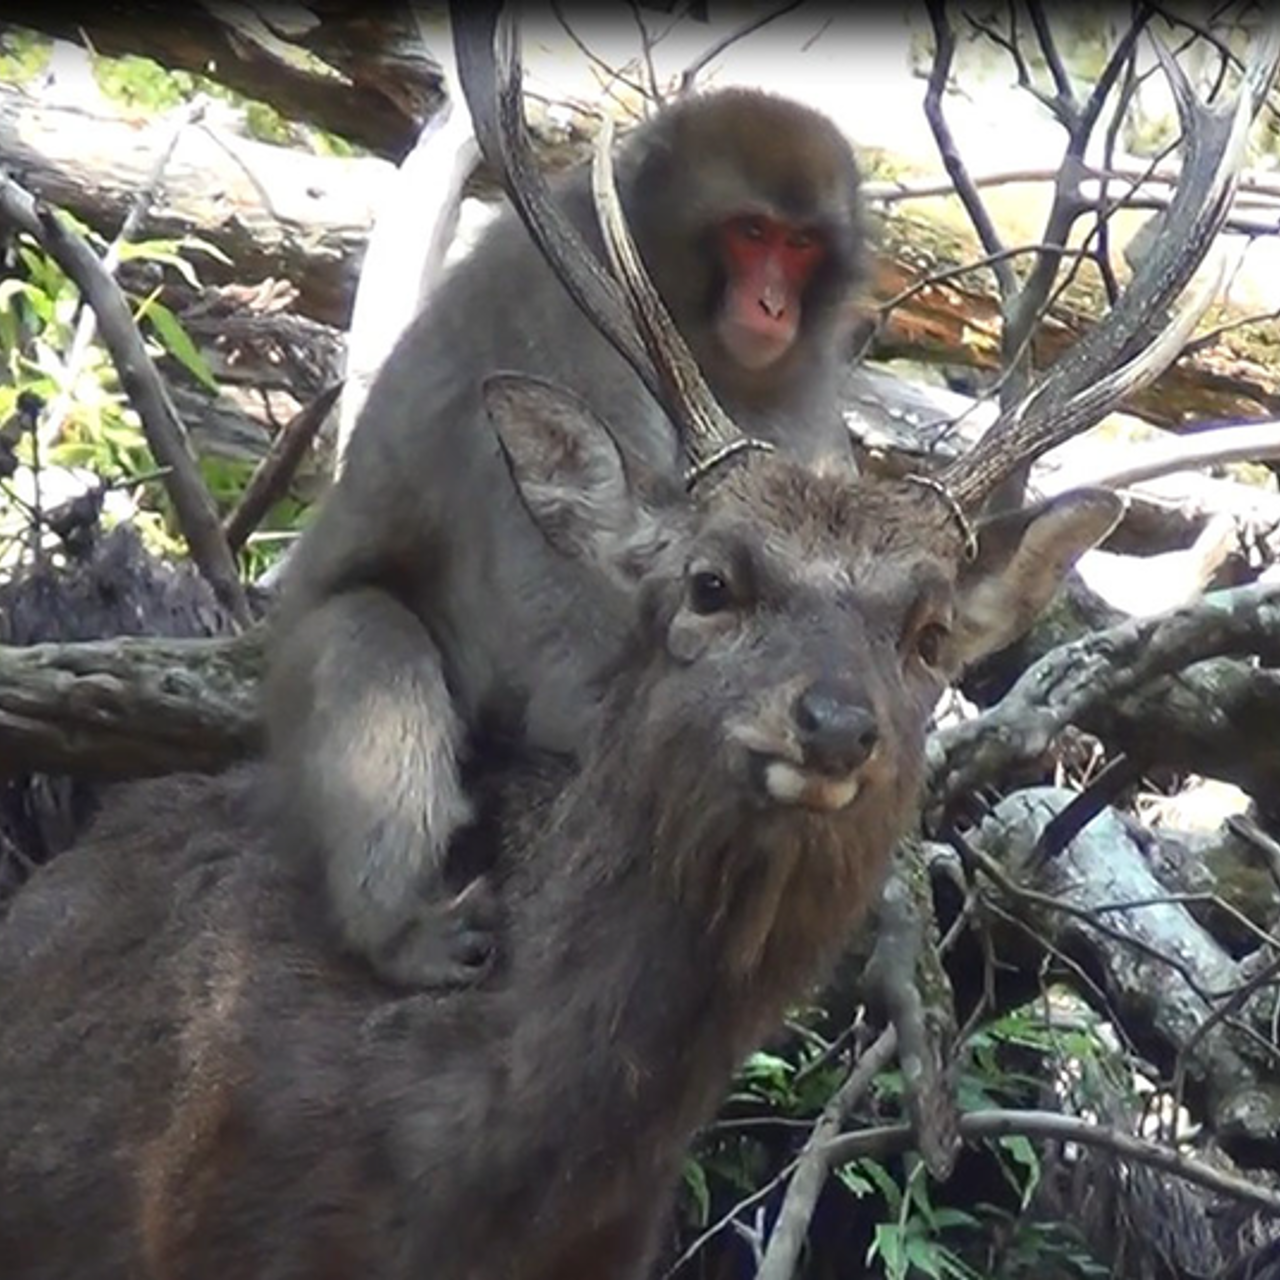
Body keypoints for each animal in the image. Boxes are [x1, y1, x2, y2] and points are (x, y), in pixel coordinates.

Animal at [270, 90, 870, 988]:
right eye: (750, 232)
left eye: (799, 245)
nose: (772, 306)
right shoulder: (561, 325)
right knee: (369, 638)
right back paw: (398, 931)